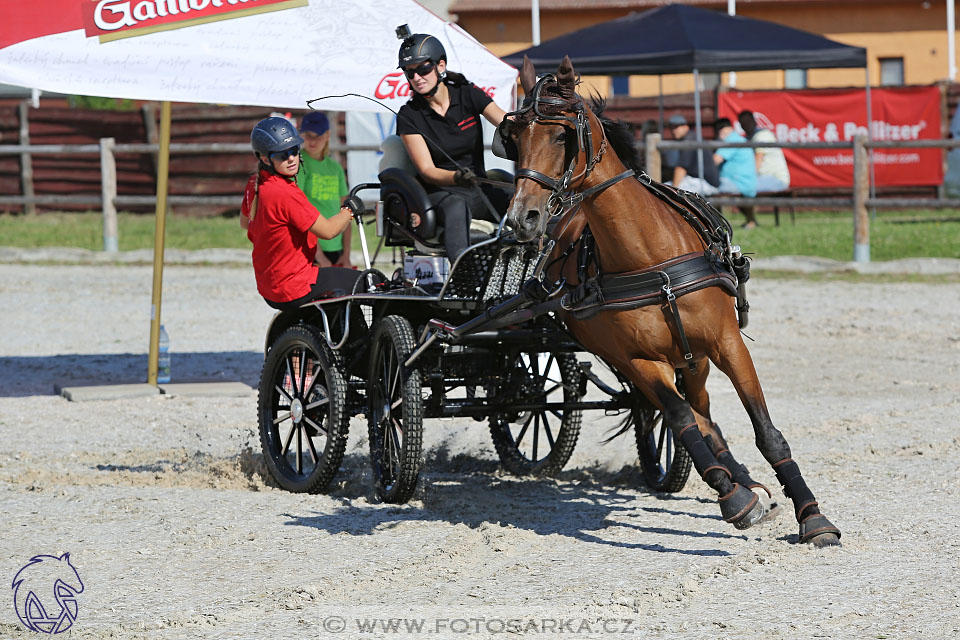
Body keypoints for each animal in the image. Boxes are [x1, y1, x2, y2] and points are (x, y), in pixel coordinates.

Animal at [502, 56, 840, 544]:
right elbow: (680, 420)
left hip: (694, 357)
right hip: (635, 358)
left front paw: (812, 515)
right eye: (514, 139)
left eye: (562, 136)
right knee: (688, 415)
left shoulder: (726, 343)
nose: (521, 219)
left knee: (704, 412)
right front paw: (732, 498)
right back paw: (737, 484)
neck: (651, 257)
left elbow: (765, 430)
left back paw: (747, 480)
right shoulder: (639, 359)